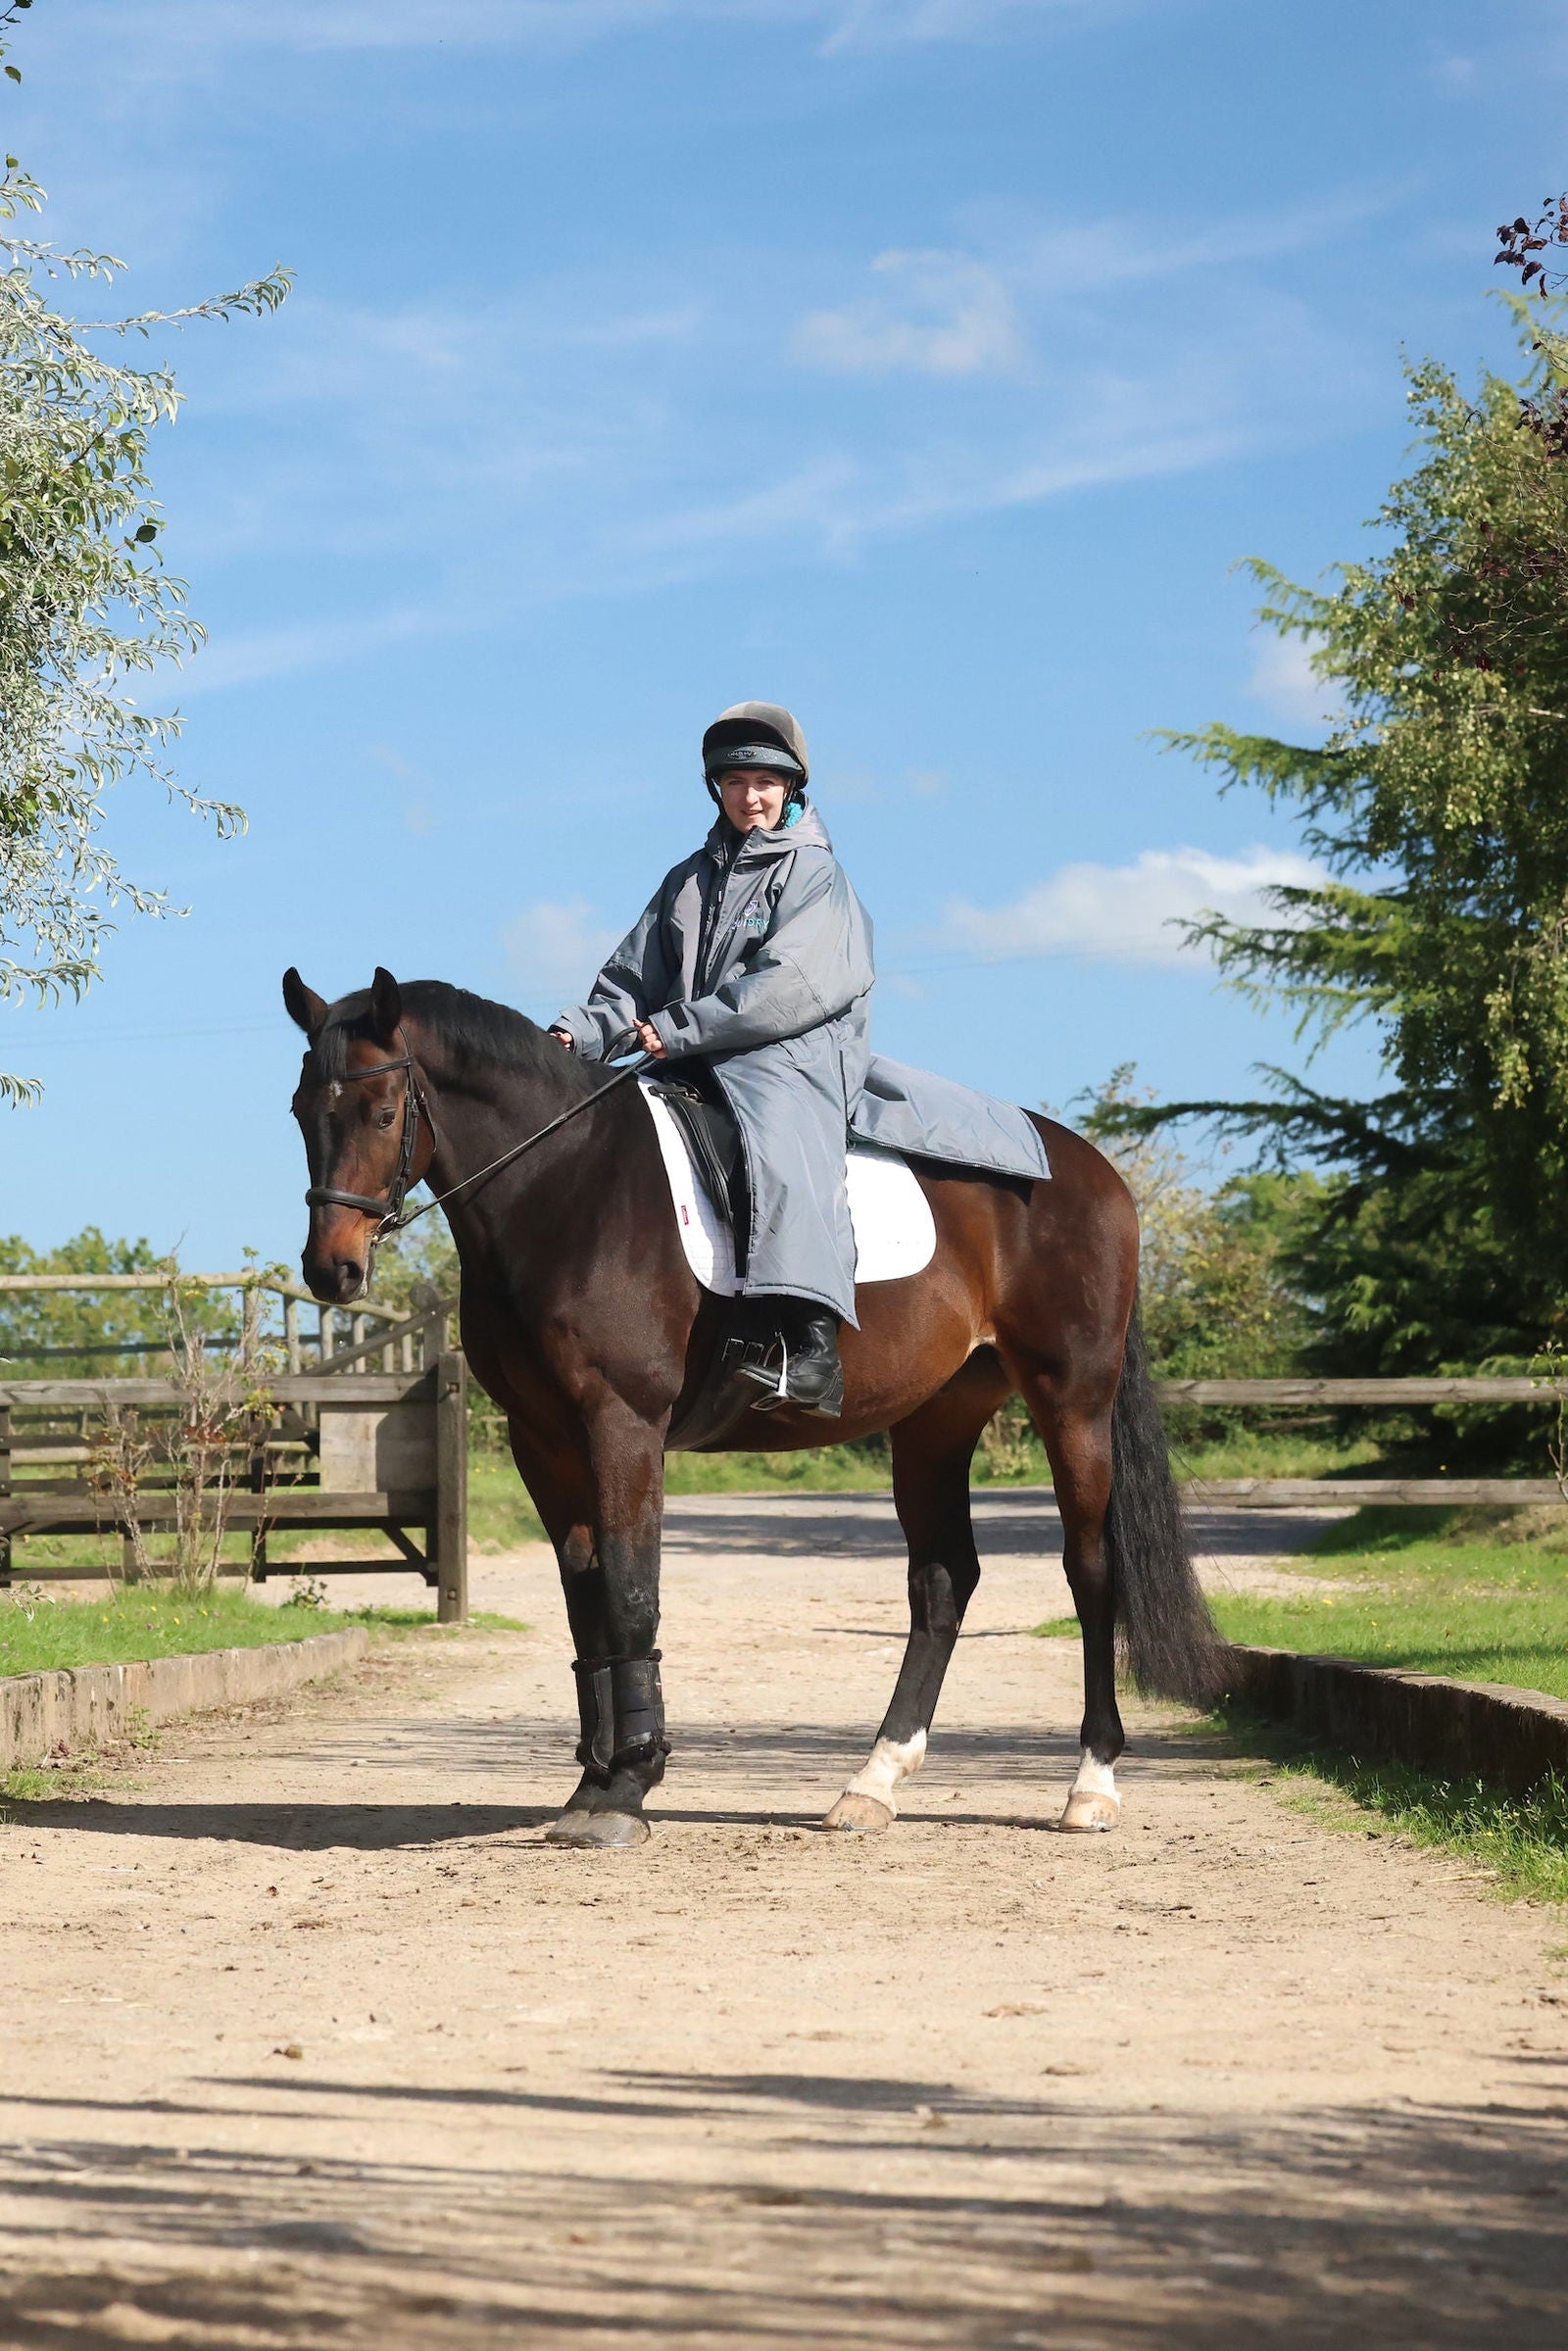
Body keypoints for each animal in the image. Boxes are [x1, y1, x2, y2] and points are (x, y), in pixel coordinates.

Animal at [284, 965, 1222, 1849]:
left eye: (379, 1111)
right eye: (300, 1111)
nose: (332, 1270)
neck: (568, 1185)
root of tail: (1090, 1168)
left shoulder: (622, 1423)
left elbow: (630, 1591)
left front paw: (629, 1786)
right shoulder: (542, 1439)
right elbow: (586, 1603)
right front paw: (591, 1784)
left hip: (1073, 1401)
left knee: (1090, 1569)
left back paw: (1090, 1786)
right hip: (935, 1421)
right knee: (943, 1580)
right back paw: (872, 1784)